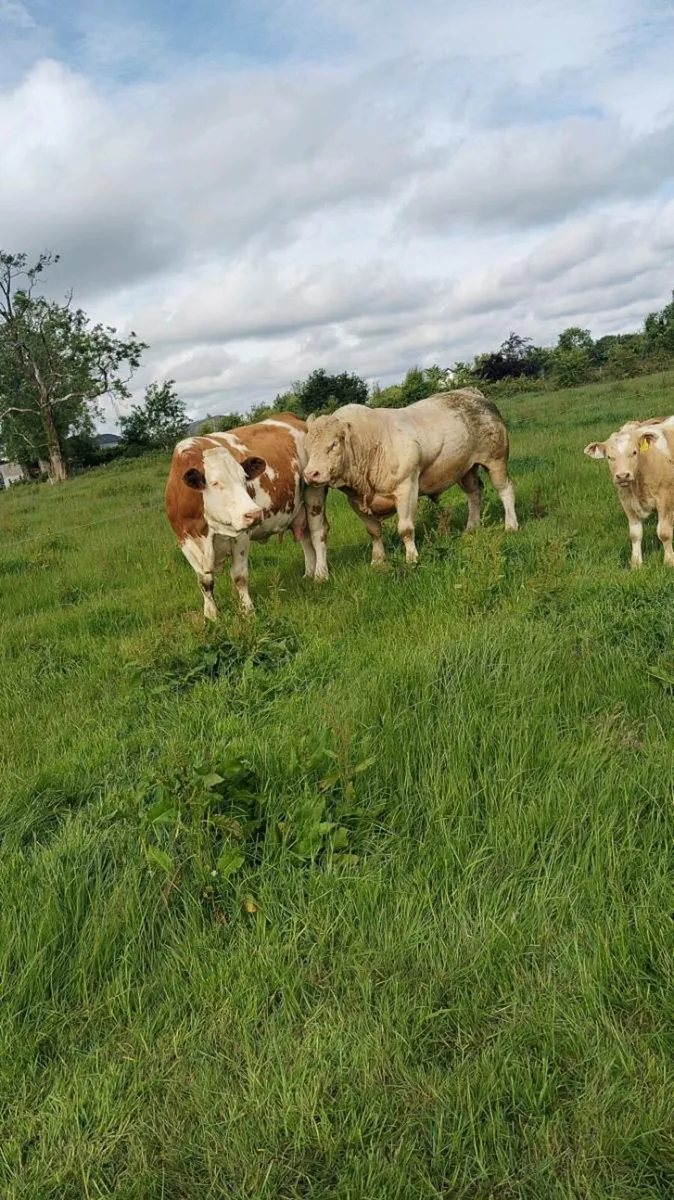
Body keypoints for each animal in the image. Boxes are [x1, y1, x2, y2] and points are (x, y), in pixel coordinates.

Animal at [165, 414, 329, 617]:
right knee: (304, 537)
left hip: (315, 491)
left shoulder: (241, 536)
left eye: (244, 478)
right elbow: (204, 582)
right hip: (297, 510)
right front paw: (211, 615)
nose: (254, 513)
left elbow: (239, 576)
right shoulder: (185, 542)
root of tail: (292, 417)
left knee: (317, 533)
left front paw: (247, 610)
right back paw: (309, 574)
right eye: (215, 483)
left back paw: (321, 574)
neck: (205, 529)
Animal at [303, 388, 518, 566]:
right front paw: (378, 561)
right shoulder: (355, 502)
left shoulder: (406, 488)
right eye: (307, 447)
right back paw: (471, 527)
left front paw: (412, 557)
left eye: (333, 444)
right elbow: (374, 531)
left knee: (505, 489)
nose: (310, 474)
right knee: (474, 493)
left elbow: (405, 528)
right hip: (466, 469)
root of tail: (472, 393)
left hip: (495, 459)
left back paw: (511, 525)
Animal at [584, 417, 674, 568]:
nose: (622, 476)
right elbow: (635, 534)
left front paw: (669, 561)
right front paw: (636, 563)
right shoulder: (627, 502)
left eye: (634, 452)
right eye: (609, 457)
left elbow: (664, 532)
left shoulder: (665, 498)